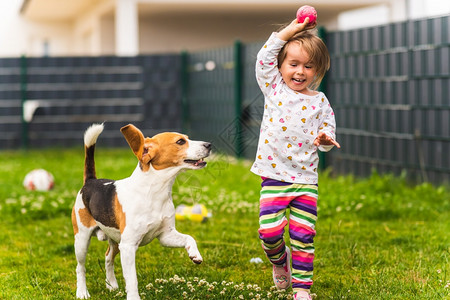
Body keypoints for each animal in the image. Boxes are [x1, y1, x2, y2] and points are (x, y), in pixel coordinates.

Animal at [71, 123, 212, 298]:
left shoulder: (165, 235)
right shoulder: (129, 246)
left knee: (108, 258)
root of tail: (91, 181)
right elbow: (132, 280)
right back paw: (82, 292)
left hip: (116, 240)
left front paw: (195, 254)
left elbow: (189, 238)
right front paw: (133, 297)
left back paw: (111, 285)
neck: (154, 192)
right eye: (180, 141)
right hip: (82, 240)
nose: (209, 145)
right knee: (80, 267)